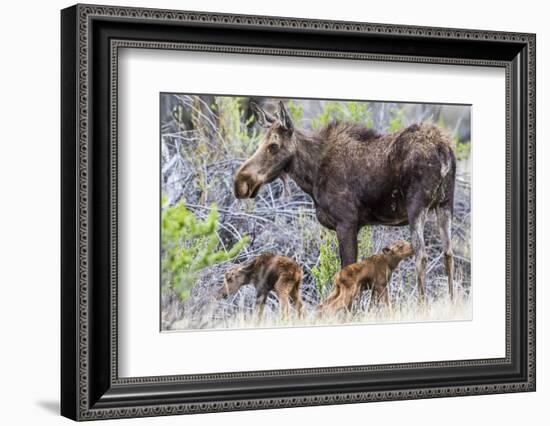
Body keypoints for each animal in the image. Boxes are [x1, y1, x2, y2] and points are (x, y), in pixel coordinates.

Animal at [236, 102, 458, 302]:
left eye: (273, 146)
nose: (241, 182)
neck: (311, 175)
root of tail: (444, 150)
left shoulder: (346, 223)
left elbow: (347, 271)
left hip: (417, 206)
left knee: (422, 256)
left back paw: (423, 305)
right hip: (445, 204)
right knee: (448, 253)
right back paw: (452, 302)